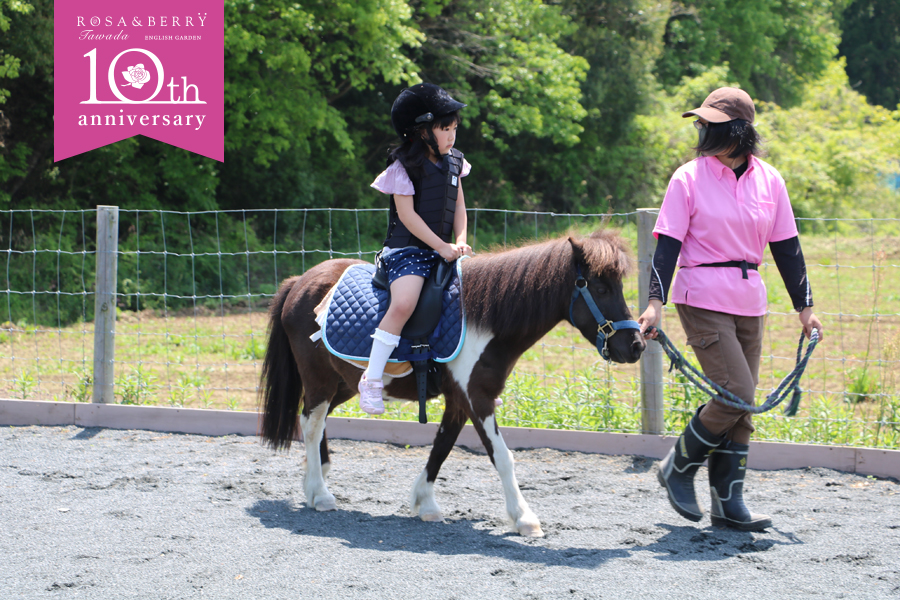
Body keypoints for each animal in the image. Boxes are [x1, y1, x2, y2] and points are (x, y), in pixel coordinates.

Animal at [256, 229, 644, 536]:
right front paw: (524, 518)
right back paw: (320, 493)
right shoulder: (476, 398)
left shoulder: (459, 400)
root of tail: (298, 282)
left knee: (313, 420)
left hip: (347, 384)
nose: (637, 345)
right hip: (320, 380)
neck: (485, 318)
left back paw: (314, 479)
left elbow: (442, 447)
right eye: (600, 287)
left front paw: (424, 502)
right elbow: (502, 457)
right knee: (311, 424)